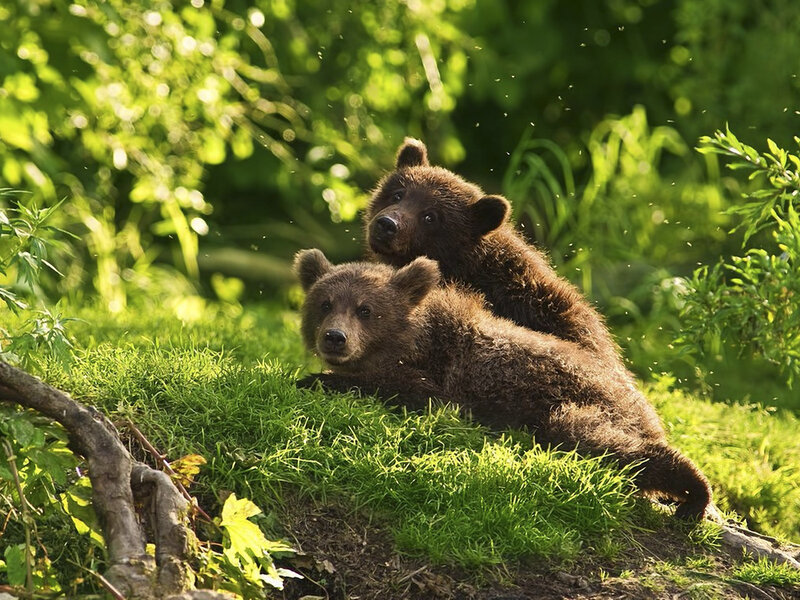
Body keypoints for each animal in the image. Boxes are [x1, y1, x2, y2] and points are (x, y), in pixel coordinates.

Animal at [294, 248, 713, 520]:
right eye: (325, 303)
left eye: (365, 310)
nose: (335, 338)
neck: (413, 340)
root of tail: (644, 406)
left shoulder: (442, 378)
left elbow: (404, 389)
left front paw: (313, 379)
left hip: (582, 404)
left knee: (602, 441)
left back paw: (693, 492)